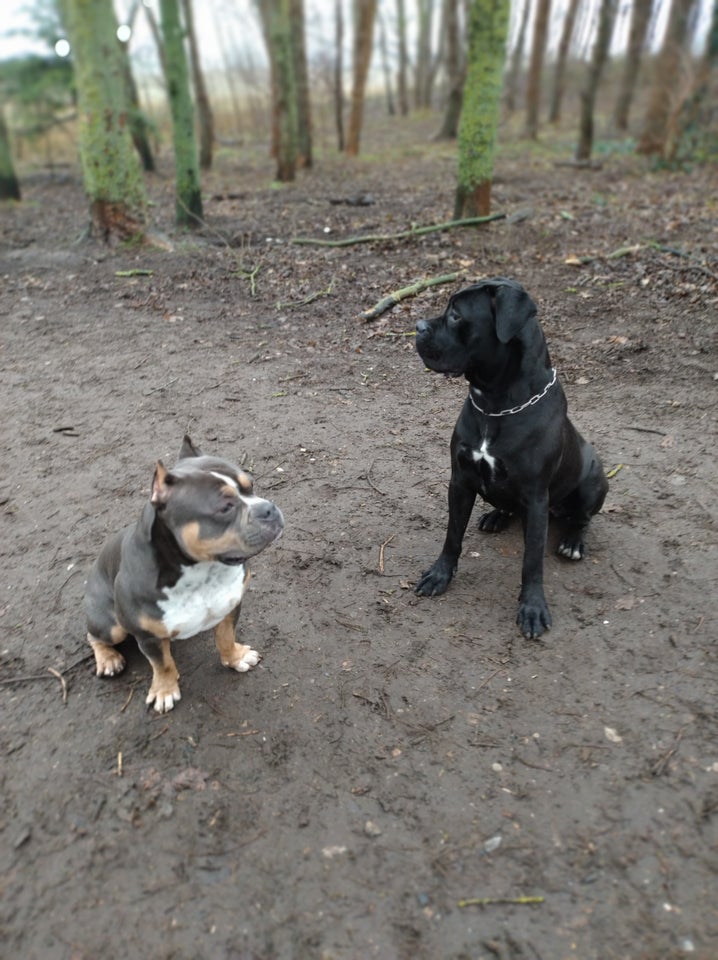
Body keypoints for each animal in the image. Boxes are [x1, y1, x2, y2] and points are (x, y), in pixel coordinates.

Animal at [84, 438, 284, 708]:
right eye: (225, 507)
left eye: (250, 486)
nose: (268, 508)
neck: (202, 571)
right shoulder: (148, 637)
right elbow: (163, 665)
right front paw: (164, 690)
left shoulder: (230, 604)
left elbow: (225, 636)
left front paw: (235, 657)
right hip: (112, 625)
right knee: (94, 635)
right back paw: (108, 659)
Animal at [416, 278, 608, 636]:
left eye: (456, 315)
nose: (418, 326)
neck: (494, 403)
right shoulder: (460, 481)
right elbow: (452, 535)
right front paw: (439, 575)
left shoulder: (536, 497)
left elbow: (532, 561)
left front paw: (532, 608)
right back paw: (497, 516)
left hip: (594, 477)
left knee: (582, 518)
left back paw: (573, 541)